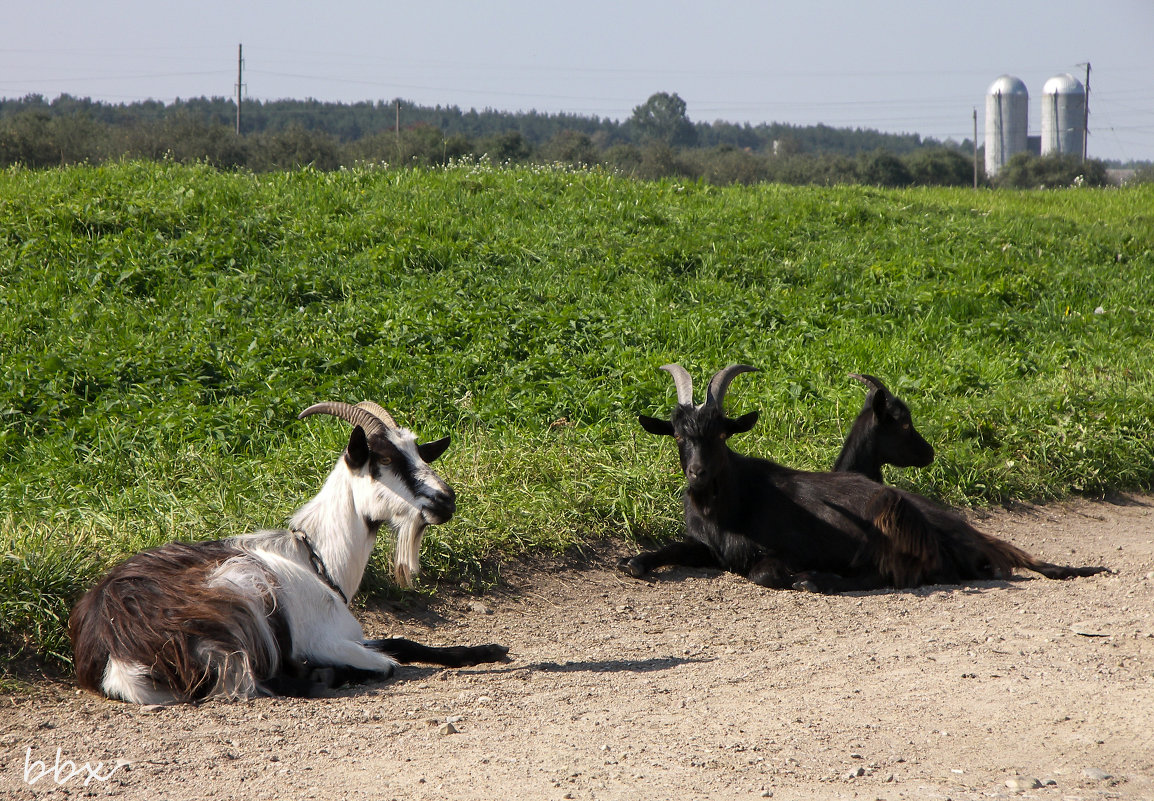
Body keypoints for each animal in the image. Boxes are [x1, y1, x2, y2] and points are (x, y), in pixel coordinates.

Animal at [70, 401, 505, 701]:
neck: (317, 559)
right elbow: (389, 661)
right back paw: (319, 676)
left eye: (418, 453)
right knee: (273, 678)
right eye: (383, 459)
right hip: (243, 592)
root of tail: (116, 644)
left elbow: (404, 642)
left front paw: (490, 649)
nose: (446, 500)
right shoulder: (322, 637)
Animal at [623, 367, 1107, 590]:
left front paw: (800, 574)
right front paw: (637, 563)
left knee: (905, 571)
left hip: (892, 521)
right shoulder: (707, 544)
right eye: (678, 435)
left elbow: (764, 573)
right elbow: (663, 552)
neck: (727, 503)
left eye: (722, 434)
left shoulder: (777, 551)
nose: (698, 475)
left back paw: (818, 580)